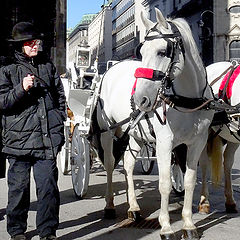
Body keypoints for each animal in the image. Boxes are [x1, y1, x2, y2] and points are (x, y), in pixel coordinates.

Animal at [95, 8, 214, 239]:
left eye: (162, 51)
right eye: (141, 52)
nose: (140, 99)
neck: (187, 99)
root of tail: (113, 68)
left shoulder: (197, 142)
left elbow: (189, 181)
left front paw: (188, 224)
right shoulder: (165, 142)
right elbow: (165, 184)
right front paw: (166, 226)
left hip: (135, 135)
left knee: (128, 165)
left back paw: (133, 208)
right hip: (107, 131)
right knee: (111, 164)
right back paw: (110, 205)